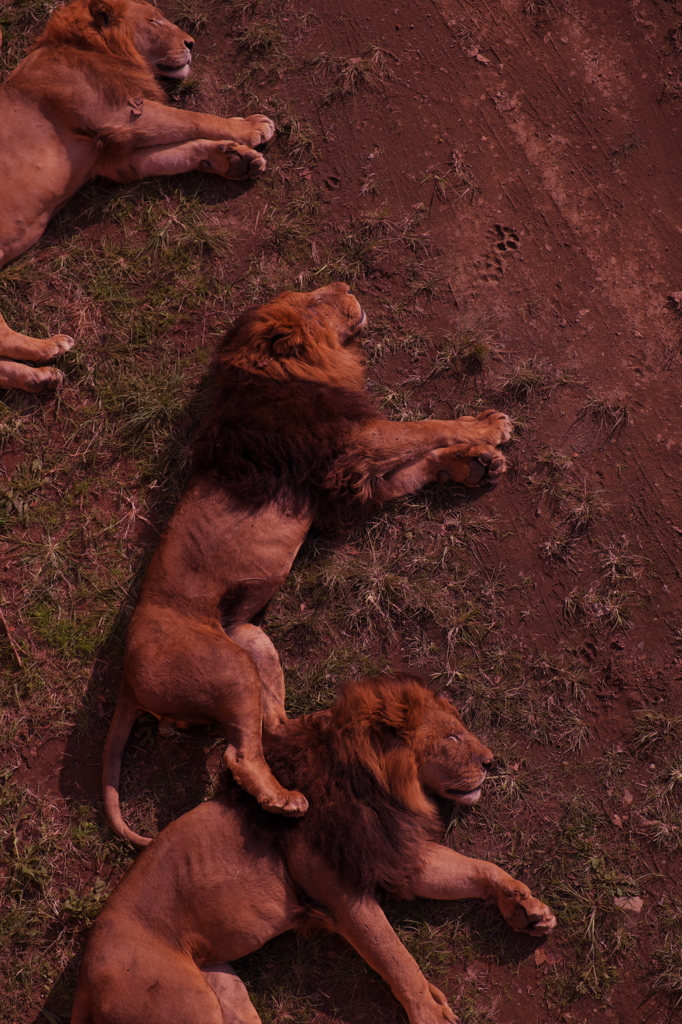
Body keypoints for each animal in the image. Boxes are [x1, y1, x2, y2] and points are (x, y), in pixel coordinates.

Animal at [1, 0, 274, 393]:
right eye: (154, 20)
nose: (191, 43)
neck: (91, 49)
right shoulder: (123, 115)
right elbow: (193, 117)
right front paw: (250, 128)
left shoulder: (114, 158)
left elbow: (181, 150)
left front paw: (233, 159)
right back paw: (48, 348)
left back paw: (39, 377)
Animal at [75, 671, 552, 1024]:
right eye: (452, 737)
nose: (491, 761)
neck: (377, 789)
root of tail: (87, 976)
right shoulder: (344, 895)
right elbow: (396, 957)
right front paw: (429, 1012)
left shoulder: (393, 855)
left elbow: (476, 868)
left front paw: (524, 906)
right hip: (182, 1003)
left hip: (224, 986)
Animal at [104, 282, 509, 847]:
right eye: (315, 300)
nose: (344, 284)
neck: (289, 370)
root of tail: (125, 677)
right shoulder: (355, 443)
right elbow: (425, 428)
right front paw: (487, 429)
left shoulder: (351, 477)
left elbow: (422, 460)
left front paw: (474, 463)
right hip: (227, 668)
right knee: (239, 753)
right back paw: (284, 798)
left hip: (251, 640)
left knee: (268, 724)